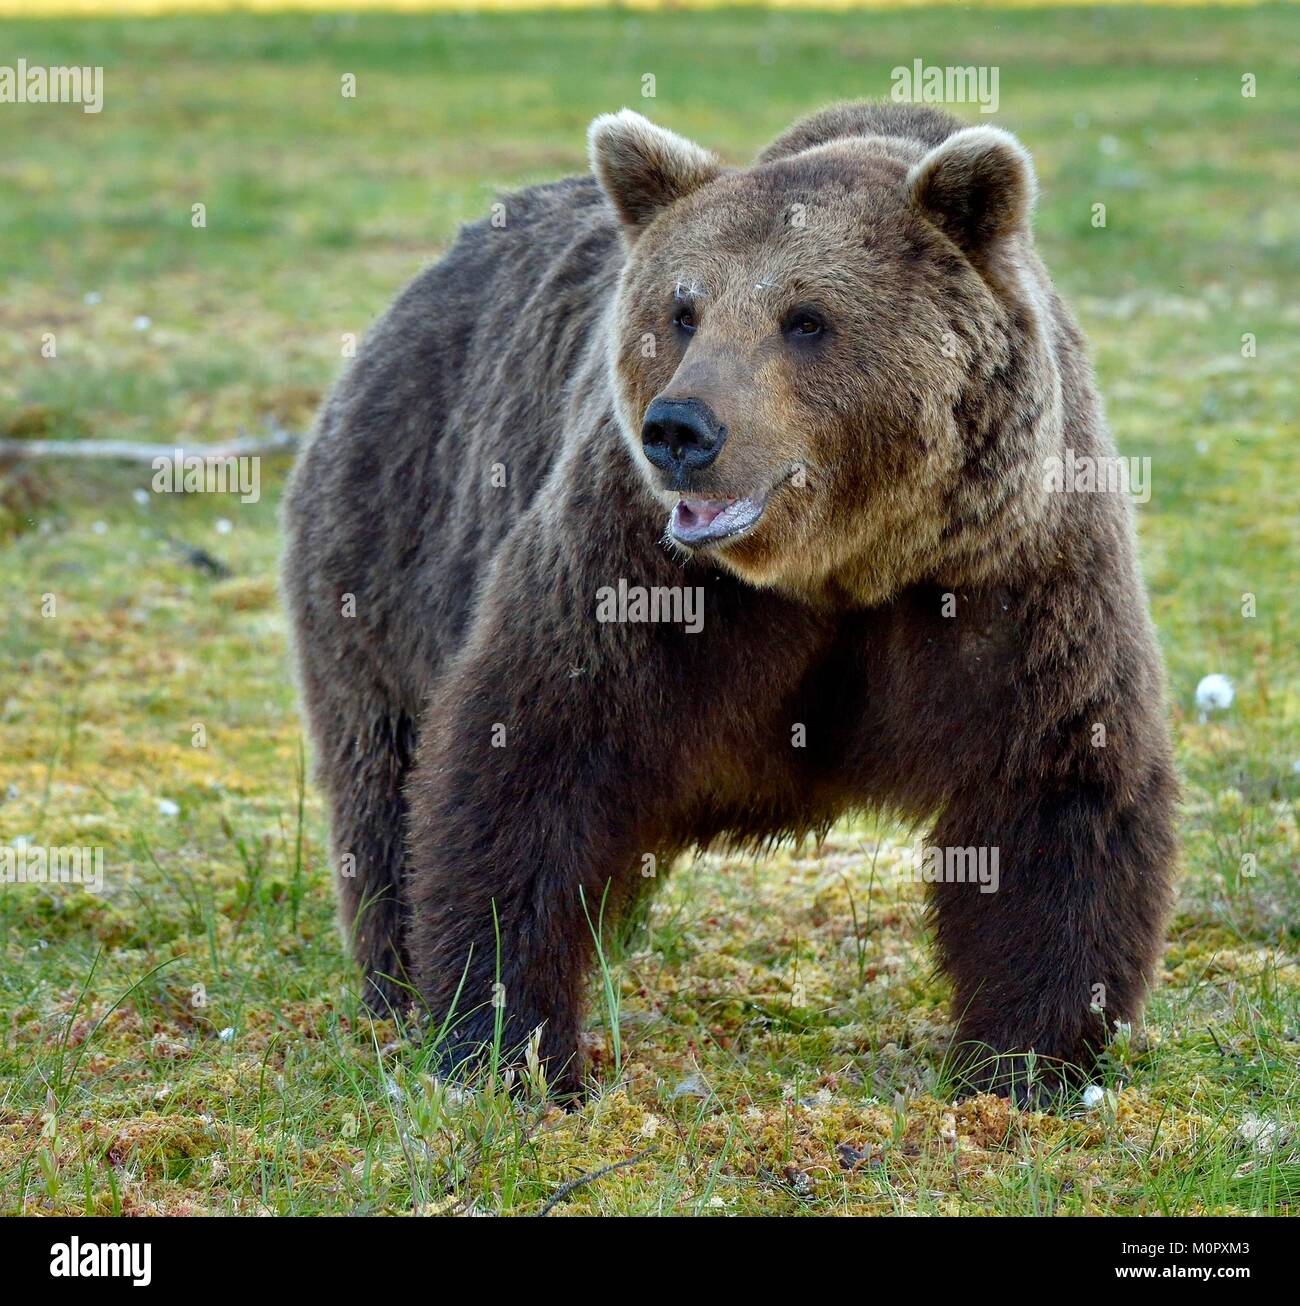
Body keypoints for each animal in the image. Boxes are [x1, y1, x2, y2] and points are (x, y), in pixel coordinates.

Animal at [281, 100, 1177, 1104]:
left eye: (806, 318)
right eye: (683, 311)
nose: (681, 430)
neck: (842, 564)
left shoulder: (1008, 569)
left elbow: (1056, 781)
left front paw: (1030, 1059)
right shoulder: (643, 574)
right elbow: (528, 753)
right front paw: (509, 1043)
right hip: (389, 548)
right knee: (384, 775)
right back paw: (397, 984)